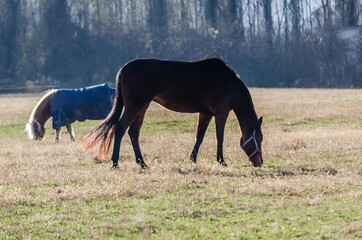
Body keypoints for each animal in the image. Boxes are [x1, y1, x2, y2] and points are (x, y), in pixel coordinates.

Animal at [80, 57, 264, 168]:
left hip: (142, 106)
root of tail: (126, 67)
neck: (230, 82)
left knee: (133, 132)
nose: (259, 162)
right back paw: (116, 162)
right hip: (134, 106)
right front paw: (221, 160)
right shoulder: (221, 112)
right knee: (120, 129)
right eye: (260, 138)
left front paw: (193, 159)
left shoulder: (205, 113)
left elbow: (200, 136)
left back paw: (142, 163)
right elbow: (220, 136)